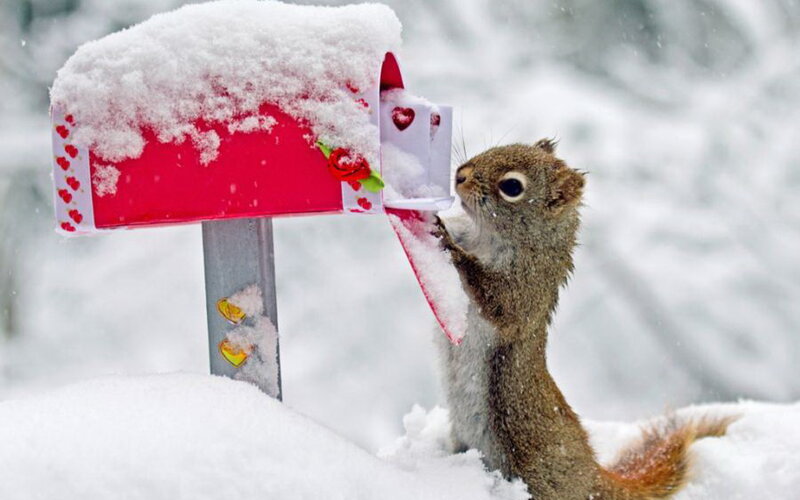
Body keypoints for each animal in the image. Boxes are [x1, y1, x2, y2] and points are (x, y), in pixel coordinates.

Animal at [433, 139, 733, 500]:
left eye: (512, 187)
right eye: (500, 146)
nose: (460, 176)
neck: (484, 235)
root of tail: (594, 477)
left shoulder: (527, 289)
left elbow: (497, 300)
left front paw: (451, 247)